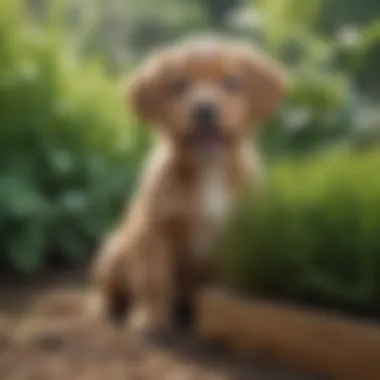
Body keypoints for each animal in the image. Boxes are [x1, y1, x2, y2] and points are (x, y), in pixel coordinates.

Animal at [90, 35, 284, 332]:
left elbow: (227, 282)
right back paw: (103, 308)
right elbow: (154, 279)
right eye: (177, 86)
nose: (204, 109)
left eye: (232, 83)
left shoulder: (238, 234)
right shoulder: (153, 230)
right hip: (114, 250)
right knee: (109, 289)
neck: (209, 170)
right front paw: (151, 316)